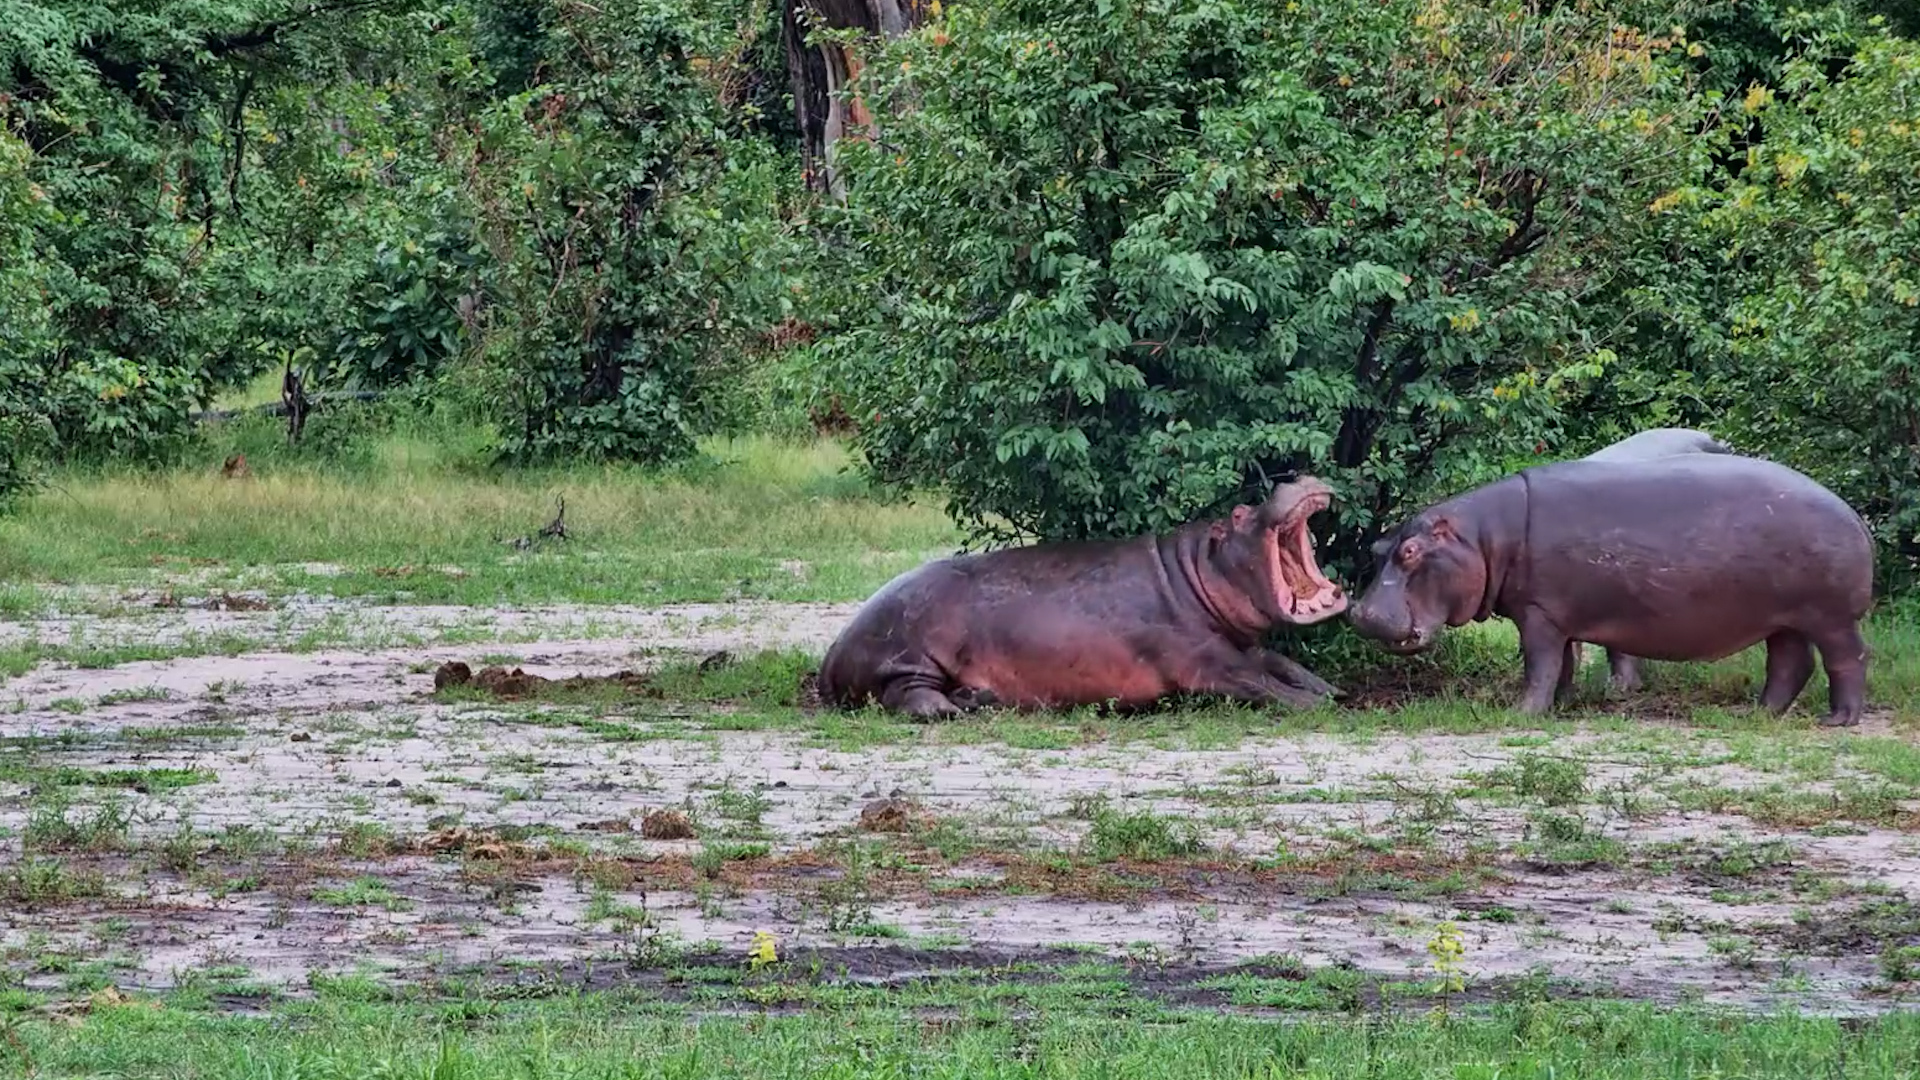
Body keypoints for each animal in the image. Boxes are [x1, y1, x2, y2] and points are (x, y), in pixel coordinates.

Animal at [818, 477, 1349, 718]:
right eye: (1239, 513)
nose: (1290, 478)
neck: (1193, 572)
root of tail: (831, 652)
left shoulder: (1243, 644)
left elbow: (1281, 663)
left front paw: (1332, 690)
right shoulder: (1204, 658)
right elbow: (1261, 682)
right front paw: (1318, 703)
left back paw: (979, 698)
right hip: (909, 648)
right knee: (905, 693)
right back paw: (949, 710)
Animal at [1347, 455, 1873, 725]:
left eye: (1411, 551)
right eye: (1378, 545)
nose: (1360, 615)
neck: (1482, 538)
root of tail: (1855, 517)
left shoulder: (1538, 614)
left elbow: (1538, 665)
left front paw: (1521, 714)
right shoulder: (1556, 617)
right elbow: (1561, 666)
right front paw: (1561, 705)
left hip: (1829, 616)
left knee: (1847, 659)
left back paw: (1838, 720)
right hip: (1784, 619)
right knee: (1789, 664)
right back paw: (1758, 715)